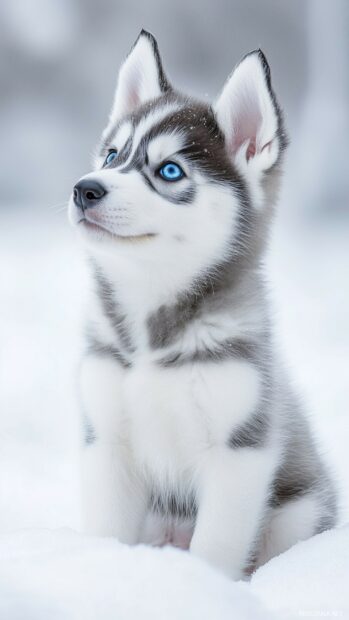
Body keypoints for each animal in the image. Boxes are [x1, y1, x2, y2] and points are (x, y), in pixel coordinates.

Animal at [68, 30, 338, 580]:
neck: (152, 335)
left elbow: (214, 549)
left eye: (169, 171)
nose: (85, 189)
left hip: (299, 512)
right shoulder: (106, 440)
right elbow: (107, 530)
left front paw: (205, 588)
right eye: (112, 155)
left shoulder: (240, 452)